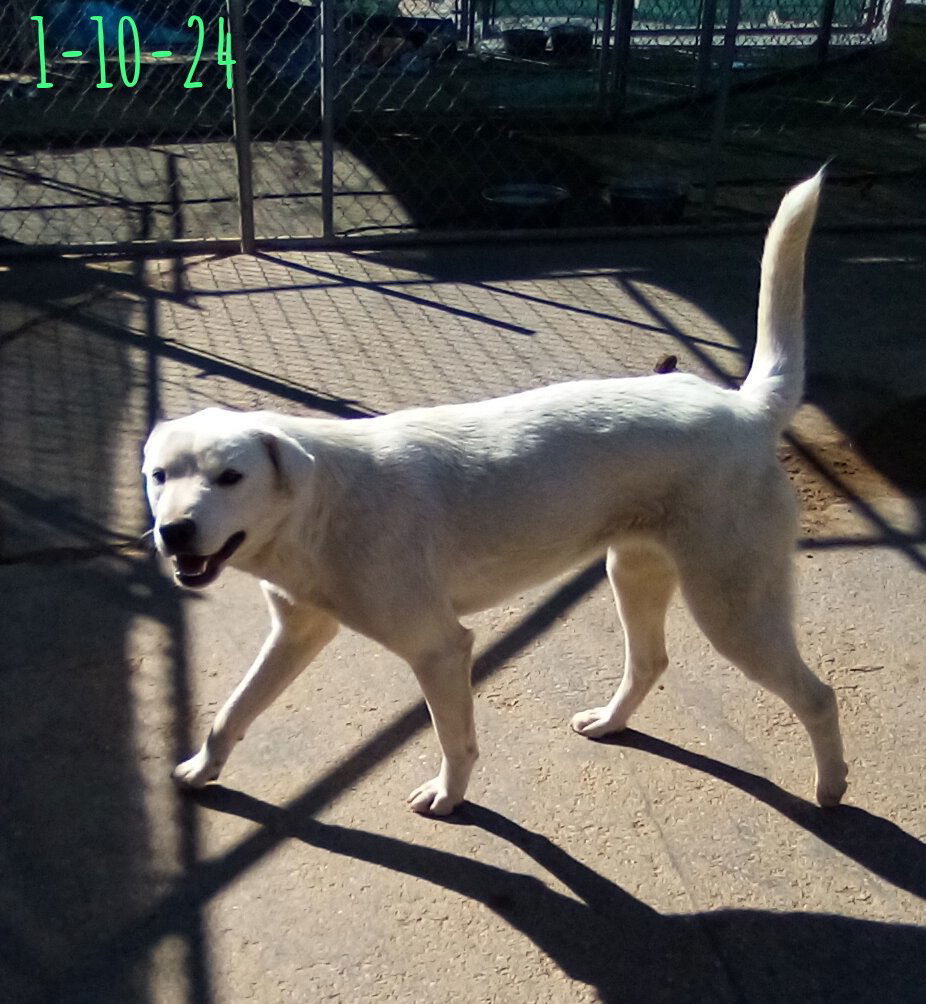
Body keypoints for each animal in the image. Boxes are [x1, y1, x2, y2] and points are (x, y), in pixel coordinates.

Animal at [142, 172, 843, 815]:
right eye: (159, 477)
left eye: (230, 476)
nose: (174, 532)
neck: (319, 508)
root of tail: (745, 409)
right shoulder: (297, 632)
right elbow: (231, 711)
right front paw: (202, 769)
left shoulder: (440, 648)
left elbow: (456, 741)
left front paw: (448, 796)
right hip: (634, 574)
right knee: (650, 662)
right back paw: (611, 722)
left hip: (732, 610)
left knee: (817, 695)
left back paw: (831, 789)